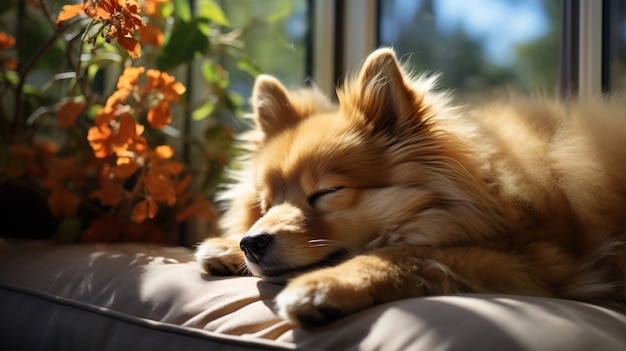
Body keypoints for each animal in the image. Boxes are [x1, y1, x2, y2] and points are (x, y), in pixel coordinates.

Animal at [195, 48, 624, 328]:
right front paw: (225, 246)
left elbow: (402, 254)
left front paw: (328, 284)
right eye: (266, 204)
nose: (252, 243)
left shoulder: (536, 262)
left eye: (326, 192)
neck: (489, 186)